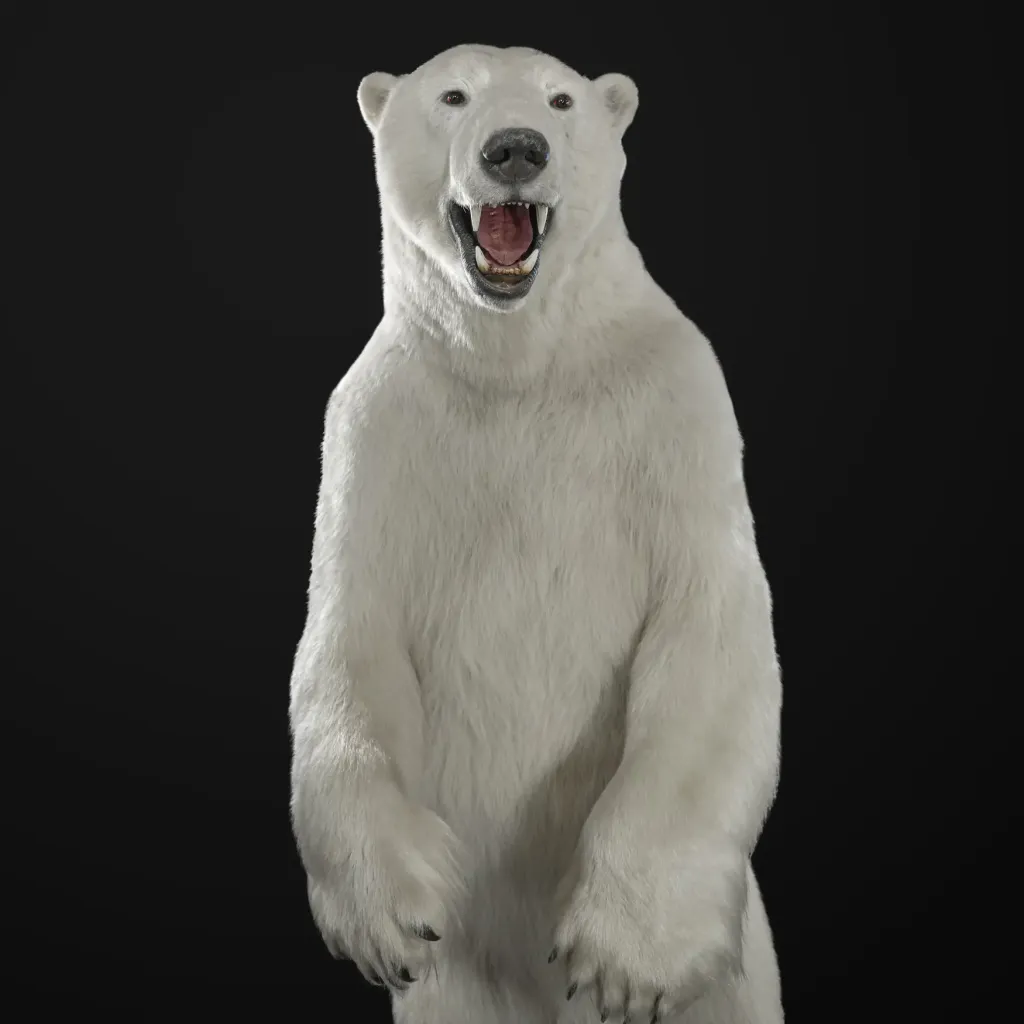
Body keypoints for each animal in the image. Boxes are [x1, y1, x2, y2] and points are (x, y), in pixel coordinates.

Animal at [288, 43, 784, 1024]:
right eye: (452, 96)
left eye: (560, 100)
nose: (515, 148)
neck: (520, 366)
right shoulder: (376, 435)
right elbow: (349, 650)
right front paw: (391, 917)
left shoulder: (678, 413)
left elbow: (707, 634)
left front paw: (628, 959)